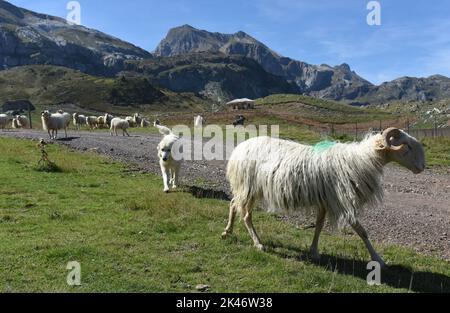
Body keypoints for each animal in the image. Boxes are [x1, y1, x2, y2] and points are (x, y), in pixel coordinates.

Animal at [223, 127, 428, 266]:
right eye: (407, 146)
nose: (422, 168)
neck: (362, 160)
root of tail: (239, 148)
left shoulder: (325, 200)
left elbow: (319, 226)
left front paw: (314, 251)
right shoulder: (342, 201)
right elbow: (361, 230)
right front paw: (378, 259)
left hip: (245, 188)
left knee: (233, 203)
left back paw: (228, 231)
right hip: (247, 186)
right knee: (246, 215)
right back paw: (258, 243)